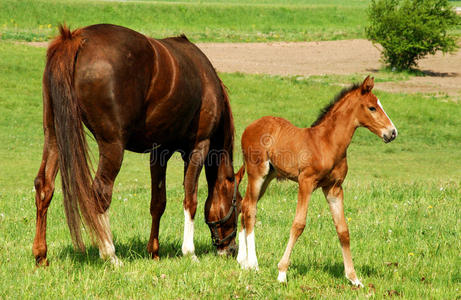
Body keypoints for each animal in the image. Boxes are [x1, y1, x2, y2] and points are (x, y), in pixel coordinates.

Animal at [32, 24, 244, 266]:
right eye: (238, 204)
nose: (231, 249)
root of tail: (75, 39)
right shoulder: (198, 148)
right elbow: (191, 200)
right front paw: (189, 253)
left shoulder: (160, 151)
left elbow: (158, 203)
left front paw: (154, 251)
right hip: (112, 146)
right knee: (100, 193)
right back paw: (110, 255)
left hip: (55, 135)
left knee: (44, 186)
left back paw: (41, 255)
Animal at [235, 77, 398, 286]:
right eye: (372, 108)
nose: (392, 133)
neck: (328, 143)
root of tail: (250, 127)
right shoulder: (306, 183)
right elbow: (298, 224)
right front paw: (282, 273)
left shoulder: (334, 188)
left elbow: (343, 230)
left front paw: (354, 279)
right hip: (257, 174)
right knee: (250, 209)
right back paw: (253, 264)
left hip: (268, 177)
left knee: (244, 204)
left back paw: (243, 261)